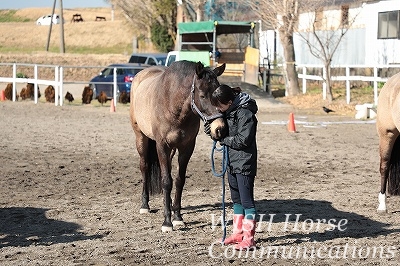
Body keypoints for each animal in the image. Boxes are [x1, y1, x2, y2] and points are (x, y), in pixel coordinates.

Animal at [130, 60, 227, 231]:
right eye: (203, 96)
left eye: (219, 95)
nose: (219, 128)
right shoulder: (162, 146)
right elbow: (166, 181)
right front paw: (167, 222)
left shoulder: (186, 148)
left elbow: (179, 180)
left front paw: (177, 217)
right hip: (141, 138)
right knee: (145, 167)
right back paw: (145, 205)